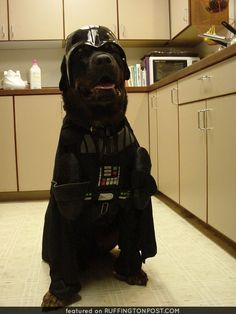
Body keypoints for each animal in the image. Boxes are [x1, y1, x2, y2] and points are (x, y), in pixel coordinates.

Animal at [41, 25, 158, 310]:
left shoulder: (130, 199)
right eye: (83, 52)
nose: (104, 60)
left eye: (112, 50)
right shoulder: (66, 197)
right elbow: (64, 252)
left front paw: (131, 271)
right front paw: (59, 291)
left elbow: (131, 237)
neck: (102, 129)